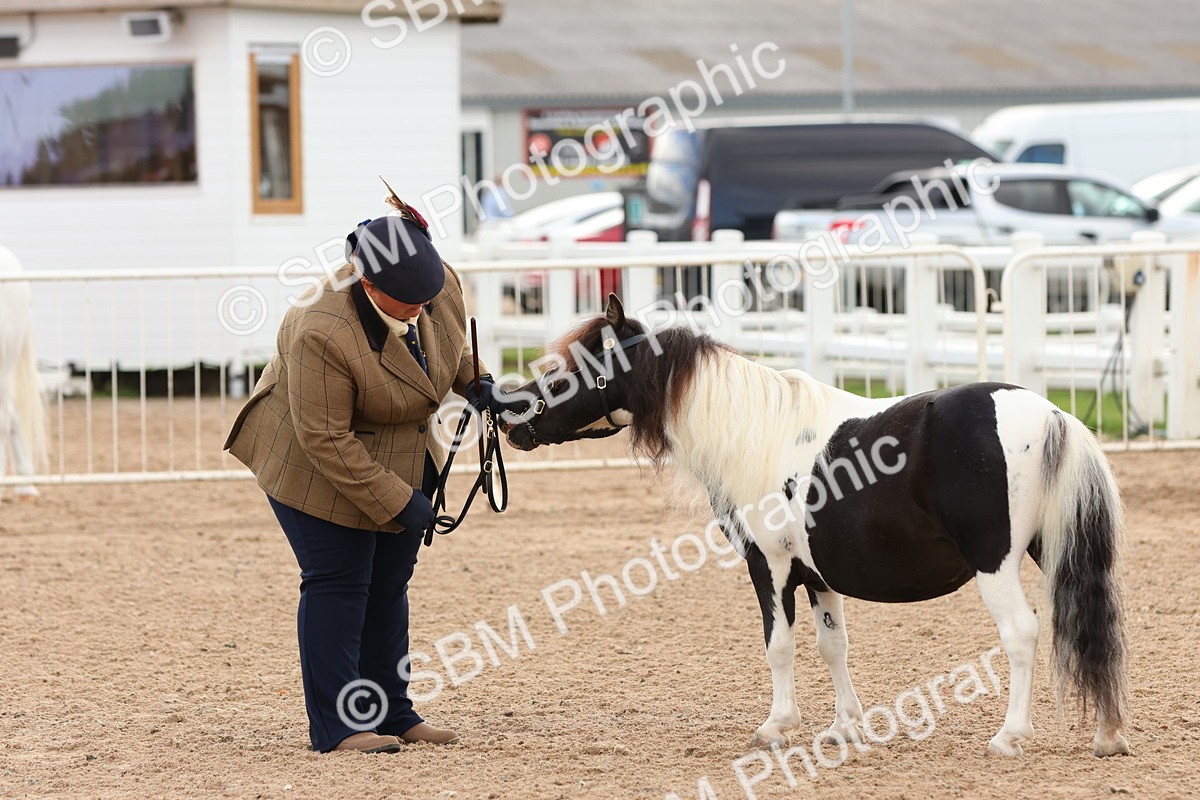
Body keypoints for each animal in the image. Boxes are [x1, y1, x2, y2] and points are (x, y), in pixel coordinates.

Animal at [504, 294, 1129, 759]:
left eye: (573, 369)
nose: (512, 420)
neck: (754, 431)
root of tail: (1053, 415)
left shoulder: (771, 565)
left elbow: (779, 645)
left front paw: (776, 726)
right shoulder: (818, 574)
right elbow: (834, 645)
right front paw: (844, 727)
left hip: (995, 563)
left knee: (1022, 633)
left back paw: (1009, 736)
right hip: (1054, 552)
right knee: (1090, 624)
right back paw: (1108, 735)